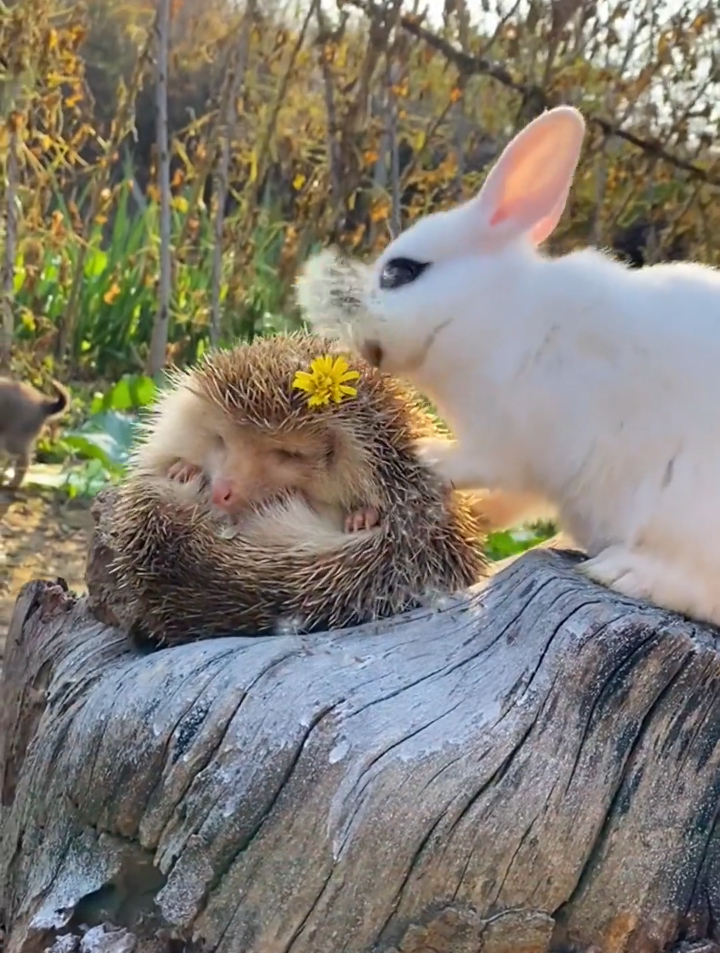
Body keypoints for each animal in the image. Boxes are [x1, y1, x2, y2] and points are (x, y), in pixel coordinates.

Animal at [294, 106, 720, 624]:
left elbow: (476, 465)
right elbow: (508, 503)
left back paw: (620, 572)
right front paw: (473, 515)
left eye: (400, 272)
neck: (492, 311)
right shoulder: (531, 480)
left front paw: (427, 454)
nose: (362, 346)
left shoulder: (505, 440)